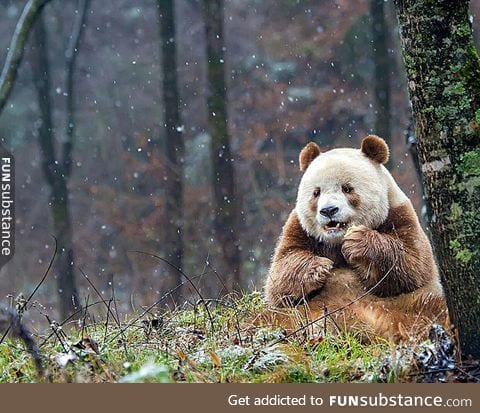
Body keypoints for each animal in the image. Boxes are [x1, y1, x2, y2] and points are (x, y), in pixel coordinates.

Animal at [262, 135, 446, 342]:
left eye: (347, 188)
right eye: (316, 192)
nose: (328, 210)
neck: (335, 241)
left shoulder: (399, 214)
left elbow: (412, 264)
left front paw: (358, 243)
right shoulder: (300, 228)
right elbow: (280, 277)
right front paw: (318, 268)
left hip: (409, 305)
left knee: (433, 309)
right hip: (297, 314)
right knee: (267, 319)